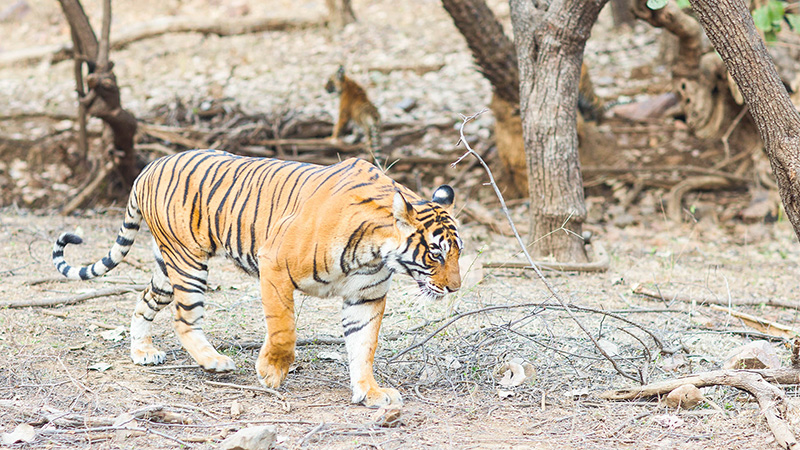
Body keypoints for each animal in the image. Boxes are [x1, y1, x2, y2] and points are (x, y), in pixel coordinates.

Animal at [52, 149, 462, 408]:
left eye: (457, 252)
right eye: (436, 253)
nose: (455, 287)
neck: (376, 251)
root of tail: (148, 167)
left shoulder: (366, 297)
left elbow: (364, 347)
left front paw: (370, 392)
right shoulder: (274, 265)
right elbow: (284, 330)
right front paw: (271, 373)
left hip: (167, 267)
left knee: (144, 301)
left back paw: (142, 352)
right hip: (188, 262)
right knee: (184, 318)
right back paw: (213, 361)